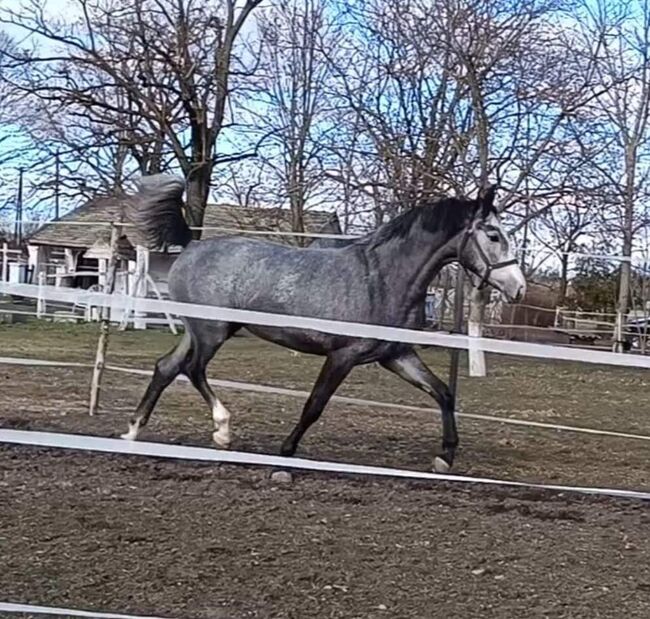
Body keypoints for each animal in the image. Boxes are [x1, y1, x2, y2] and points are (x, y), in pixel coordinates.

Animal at [123, 176, 528, 474]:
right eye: (493, 235)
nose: (518, 287)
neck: (384, 278)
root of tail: (191, 247)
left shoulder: (396, 355)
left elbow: (443, 393)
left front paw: (446, 456)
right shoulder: (342, 356)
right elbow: (314, 406)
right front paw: (285, 453)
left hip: (201, 332)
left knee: (167, 367)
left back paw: (133, 431)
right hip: (212, 332)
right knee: (192, 369)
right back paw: (222, 431)